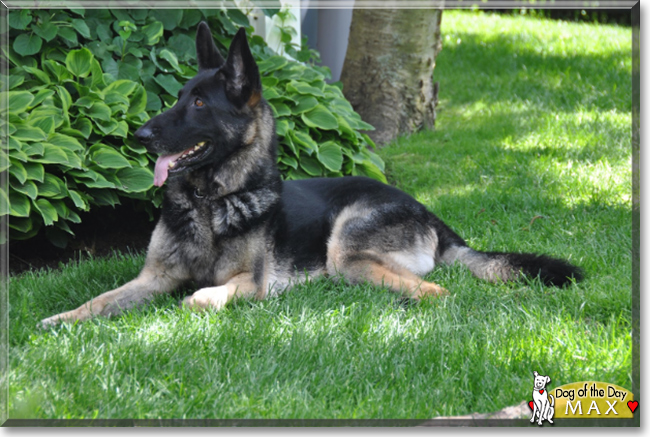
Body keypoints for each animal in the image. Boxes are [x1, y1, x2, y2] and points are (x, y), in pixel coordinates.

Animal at [40, 23, 580, 324]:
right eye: (176, 98)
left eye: (198, 104)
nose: (140, 135)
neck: (212, 201)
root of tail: (432, 216)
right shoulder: (152, 278)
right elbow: (101, 299)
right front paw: (62, 317)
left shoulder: (251, 284)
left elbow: (200, 297)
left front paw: (193, 303)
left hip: (346, 249)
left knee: (436, 290)